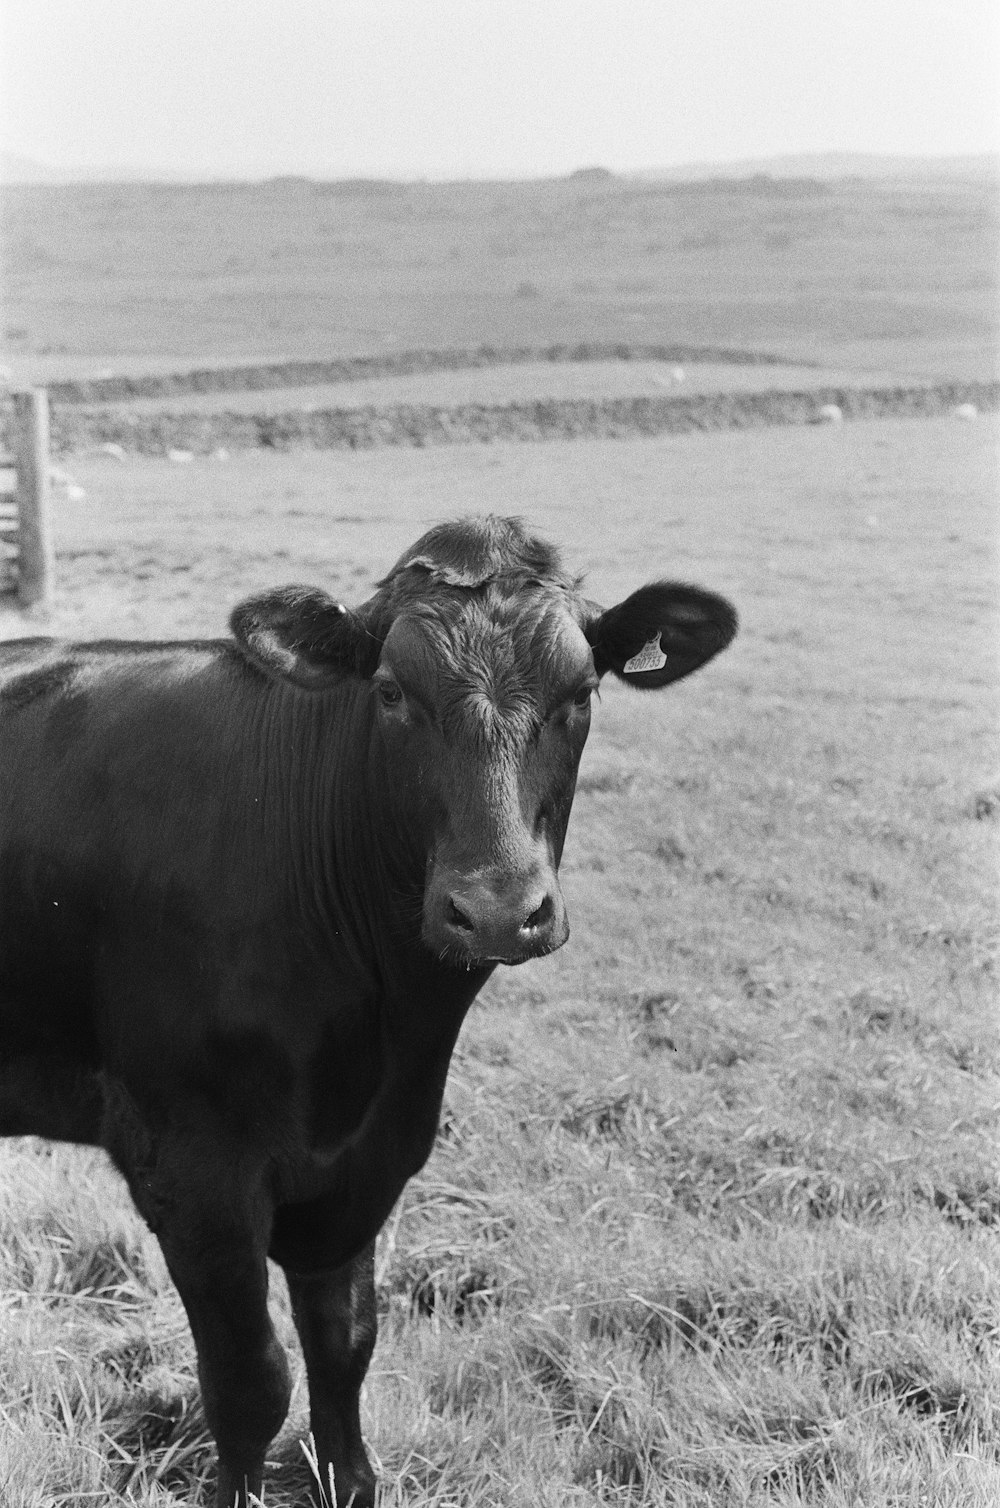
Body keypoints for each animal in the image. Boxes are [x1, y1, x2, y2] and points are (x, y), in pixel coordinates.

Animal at [0, 518, 736, 1508]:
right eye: (391, 693)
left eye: (582, 691)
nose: (497, 908)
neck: (378, 1040)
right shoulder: (190, 1167)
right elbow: (250, 1383)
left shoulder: (367, 1165)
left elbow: (344, 1349)